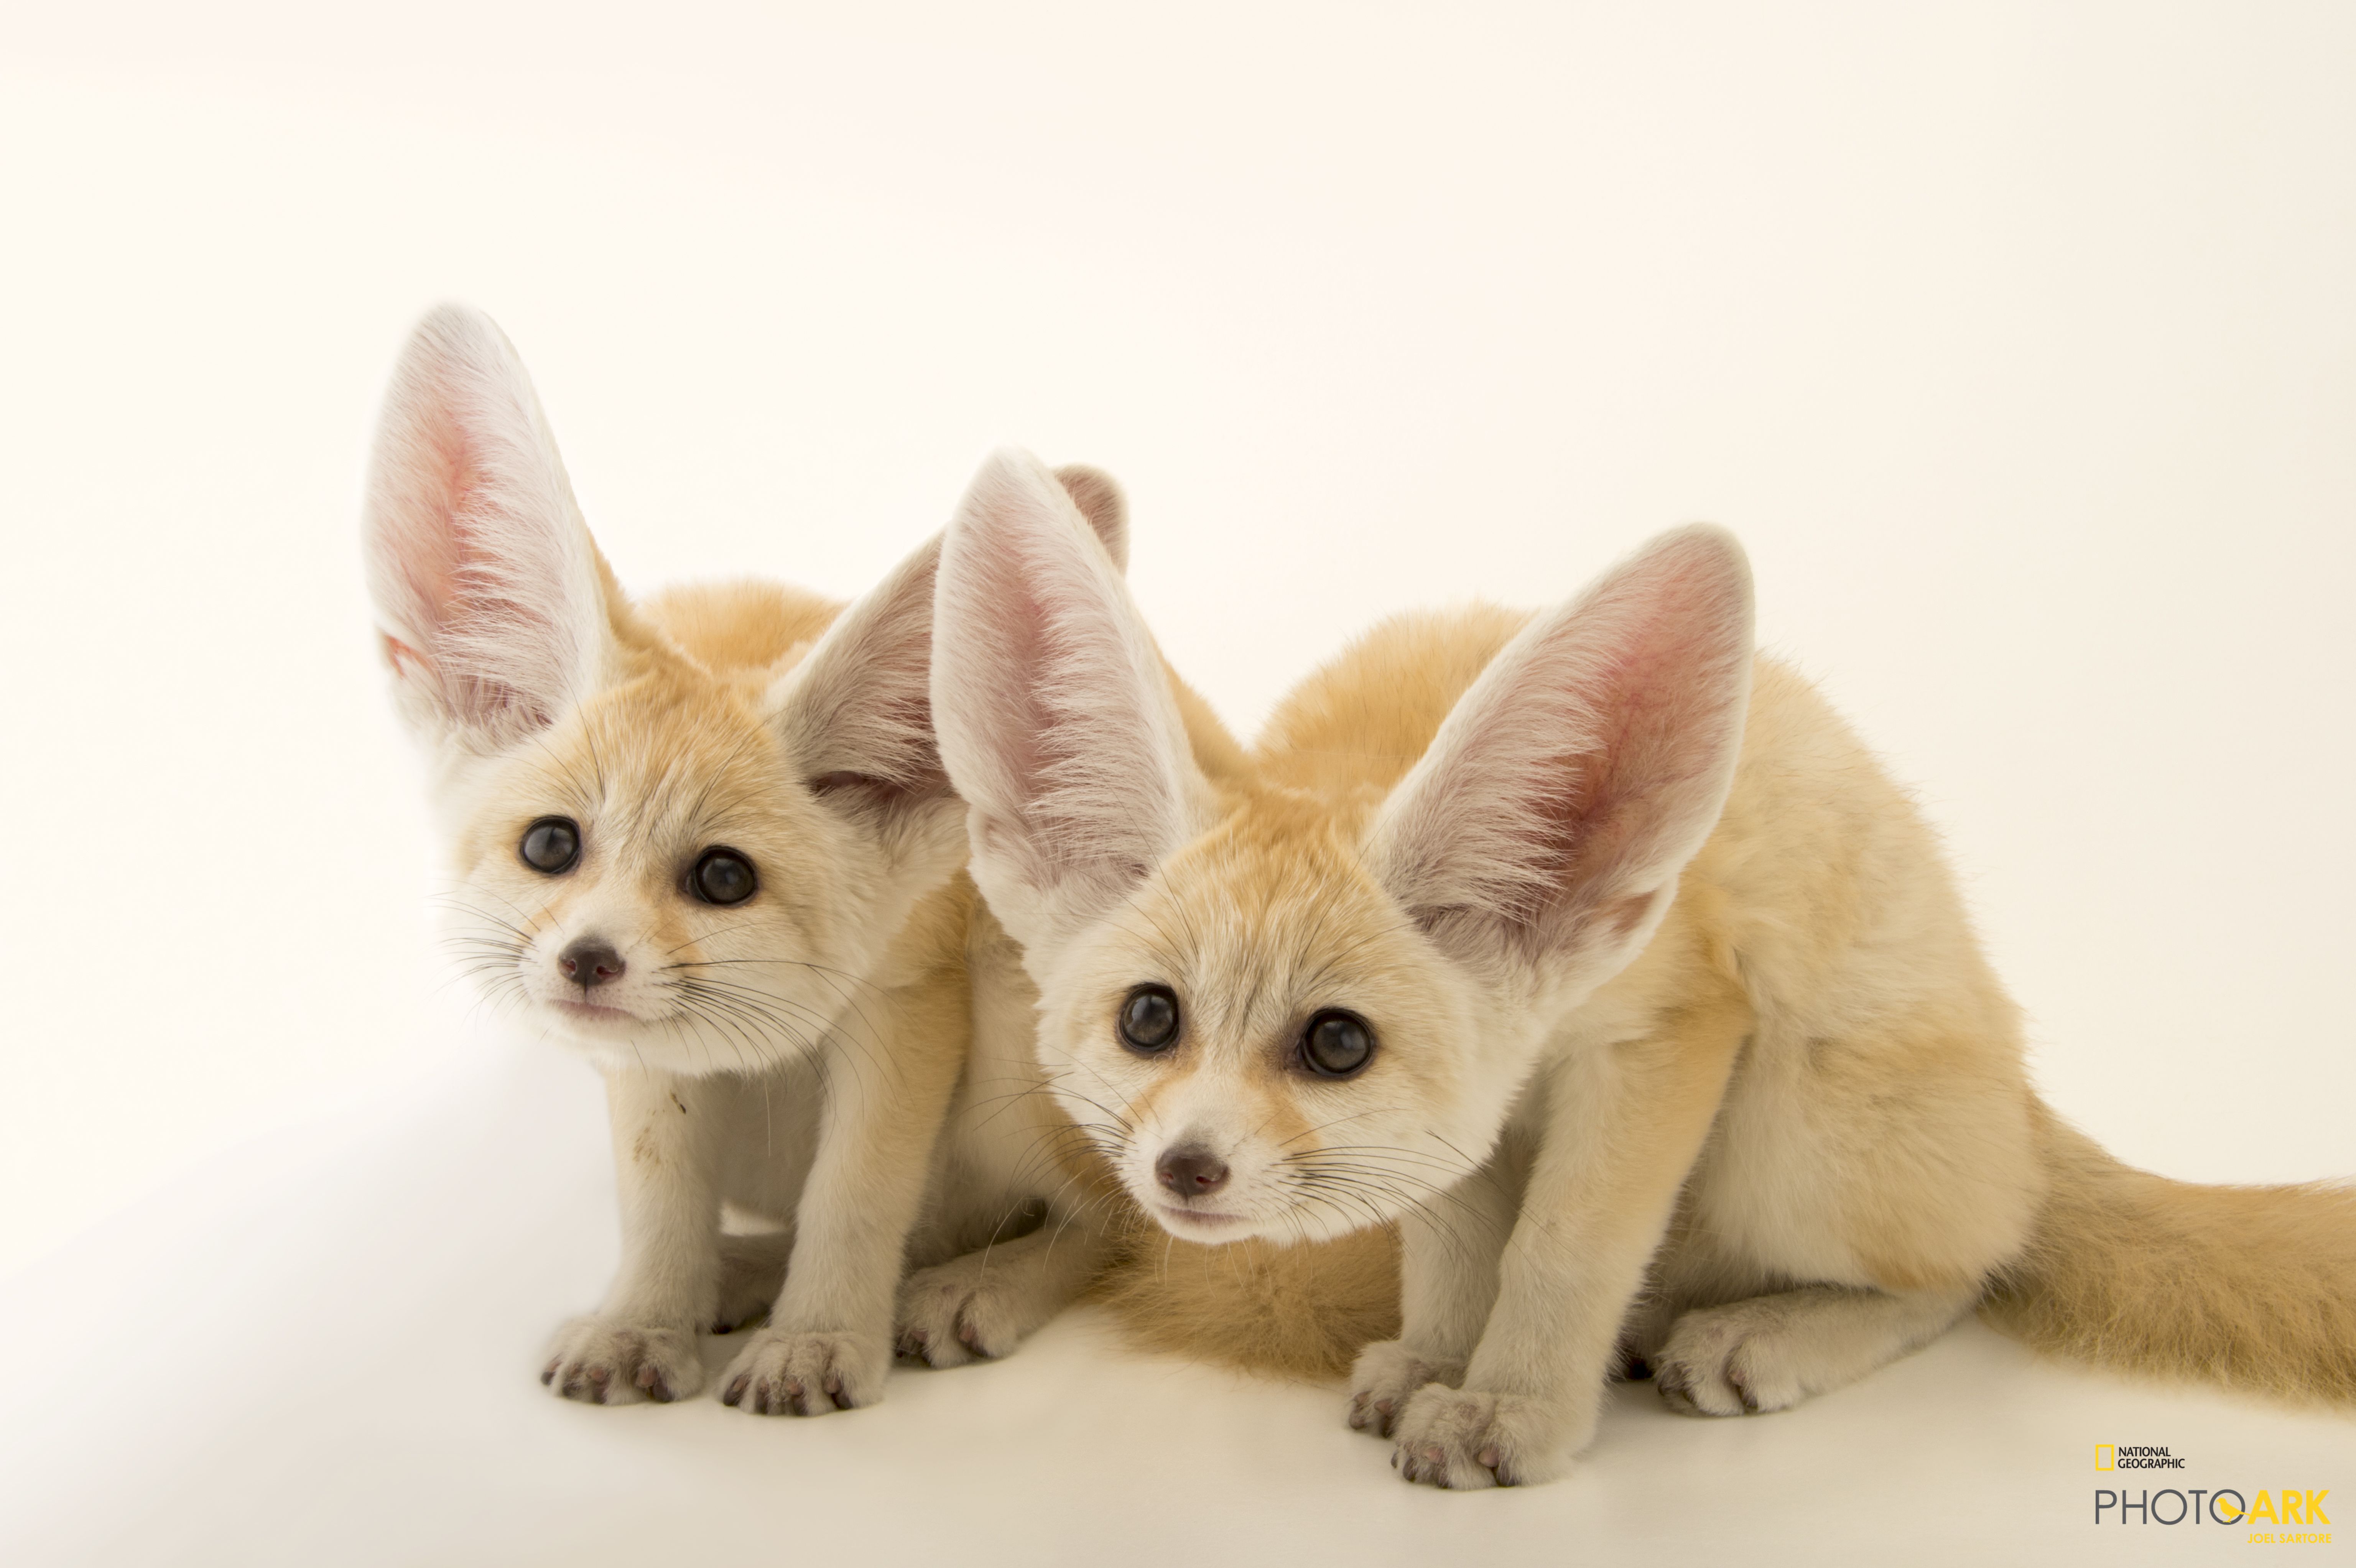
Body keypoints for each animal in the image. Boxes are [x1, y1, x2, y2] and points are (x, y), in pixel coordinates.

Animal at [363, 309, 1232, 1413]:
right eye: (551, 845)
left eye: (723, 878)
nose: (588, 961)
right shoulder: (649, 1066)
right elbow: (660, 1198)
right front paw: (647, 1317)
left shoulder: (908, 1001)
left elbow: (855, 1194)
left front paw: (818, 1338)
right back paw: (740, 1274)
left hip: (1022, 1024)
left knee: (1109, 1224)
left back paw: (979, 1283)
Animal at [926, 470, 2356, 1488]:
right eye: (1149, 1019)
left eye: (1334, 1044)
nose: (1185, 1171)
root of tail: (2022, 1092)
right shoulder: (1473, 1117)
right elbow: (1455, 1242)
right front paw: (1442, 1358)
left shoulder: (1670, 1024)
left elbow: (1564, 1247)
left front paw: (1510, 1406)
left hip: (1793, 1129)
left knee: (1975, 1265)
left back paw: (1767, 1330)